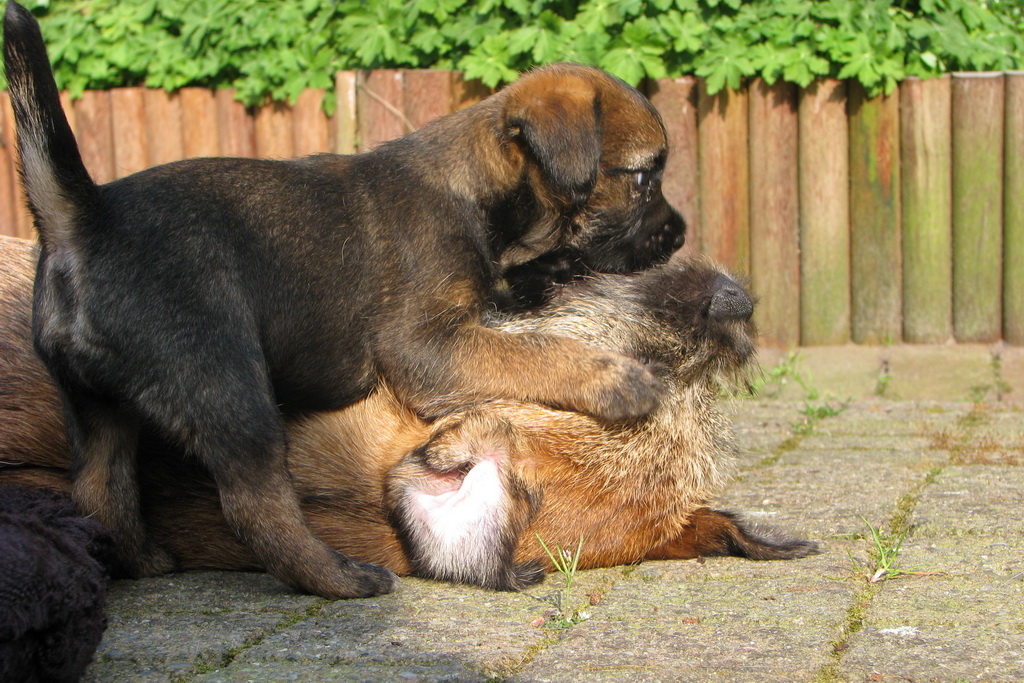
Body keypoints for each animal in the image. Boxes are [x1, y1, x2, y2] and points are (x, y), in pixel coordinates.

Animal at [3, 3, 684, 598]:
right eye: (644, 178)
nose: (679, 234)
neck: (474, 189)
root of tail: (87, 219)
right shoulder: (430, 350)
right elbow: (535, 352)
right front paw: (617, 378)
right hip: (230, 390)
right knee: (255, 507)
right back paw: (340, 578)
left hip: (97, 410)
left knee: (100, 490)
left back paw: (144, 562)